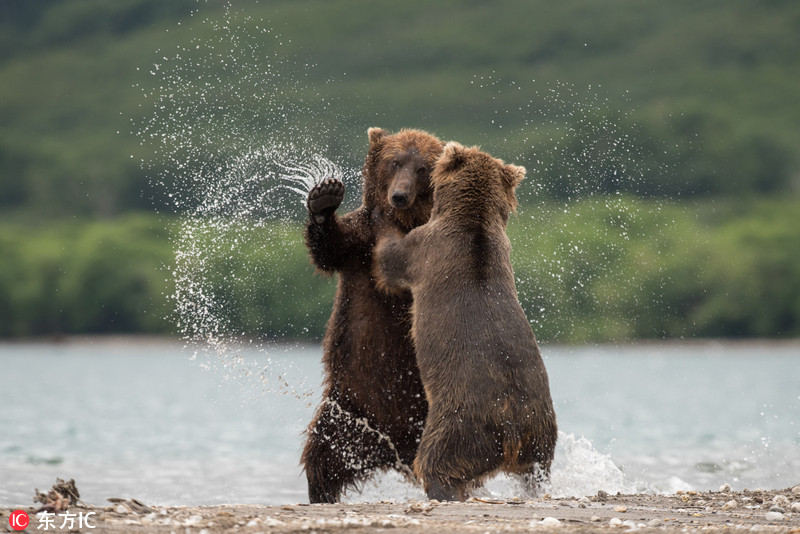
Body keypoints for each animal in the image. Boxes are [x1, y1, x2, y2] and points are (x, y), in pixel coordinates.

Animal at [300, 127, 444, 504]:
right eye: (394, 162)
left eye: (422, 168)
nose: (399, 196)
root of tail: (396, 449)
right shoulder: (358, 243)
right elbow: (330, 248)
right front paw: (323, 197)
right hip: (350, 411)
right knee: (323, 454)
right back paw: (321, 493)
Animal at [374, 141, 556, 502]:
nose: (397, 198)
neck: (474, 219)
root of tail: (511, 428)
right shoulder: (500, 245)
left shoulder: (425, 249)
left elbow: (389, 259)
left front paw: (381, 218)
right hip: (540, 424)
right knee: (538, 466)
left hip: (458, 419)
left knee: (437, 458)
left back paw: (441, 489)